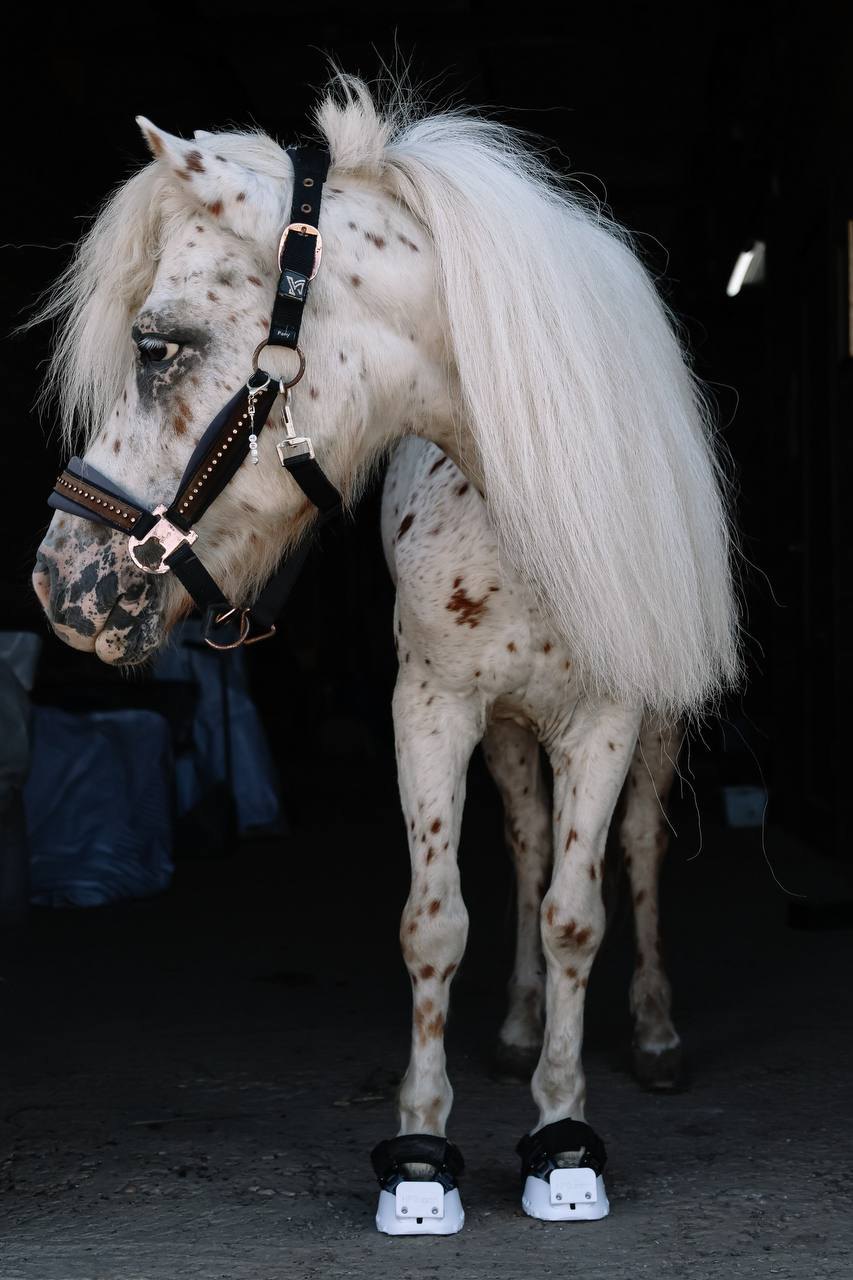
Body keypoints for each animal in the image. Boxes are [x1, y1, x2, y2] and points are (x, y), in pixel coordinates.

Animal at [30, 76, 739, 1232]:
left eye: (156, 344)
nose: (61, 580)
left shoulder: (605, 718)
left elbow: (578, 916)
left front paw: (563, 1136)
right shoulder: (433, 708)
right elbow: (436, 921)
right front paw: (421, 1146)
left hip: (650, 728)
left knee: (632, 850)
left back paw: (655, 1033)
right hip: (506, 731)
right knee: (529, 843)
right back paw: (515, 1029)